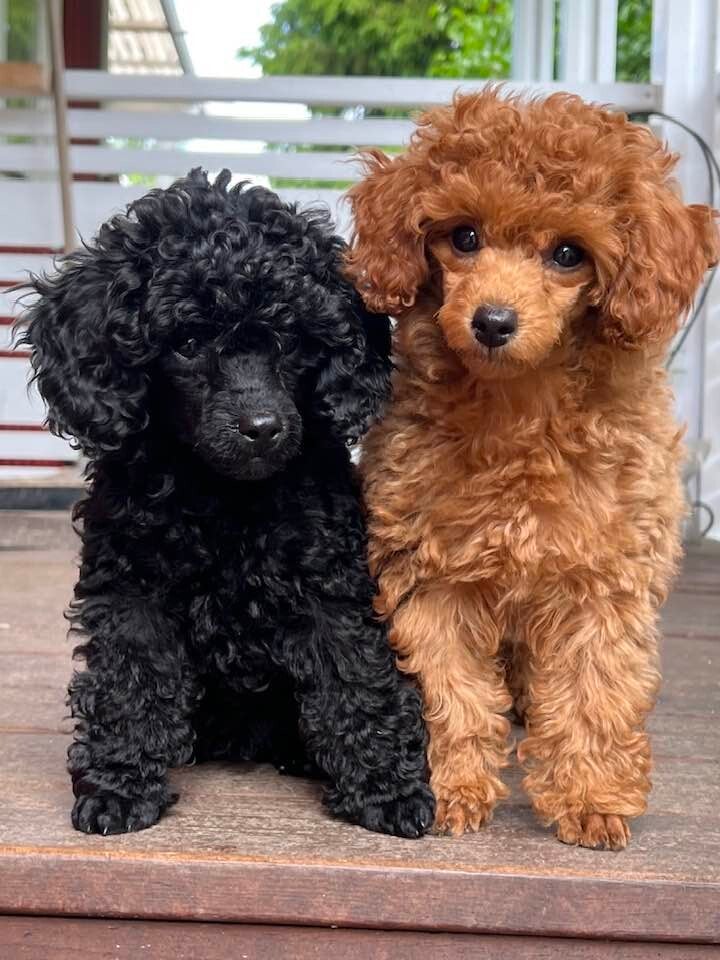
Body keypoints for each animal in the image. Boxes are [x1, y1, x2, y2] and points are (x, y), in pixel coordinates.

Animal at [20, 169, 434, 838]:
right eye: (188, 342)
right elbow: (130, 680)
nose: (261, 427)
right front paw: (118, 786)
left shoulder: (330, 589)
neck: (224, 498)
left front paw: (387, 789)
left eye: (289, 341)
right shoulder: (132, 590)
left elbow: (355, 673)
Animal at [345, 89, 718, 849]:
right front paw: (448, 790)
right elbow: (447, 684)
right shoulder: (431, 570)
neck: (518, 408)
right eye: (463, 238)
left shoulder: (604, 574)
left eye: (568, 254)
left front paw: (591, 799)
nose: (492, 321)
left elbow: (594, 686)